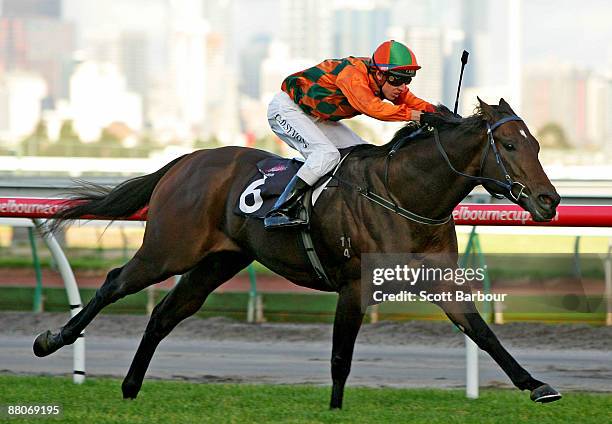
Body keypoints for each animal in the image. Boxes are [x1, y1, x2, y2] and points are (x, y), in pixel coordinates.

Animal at [32, 98, 560, 408]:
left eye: (536, 143)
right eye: (509, 144)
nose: (549, 200)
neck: (405, 194)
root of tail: (186, 160)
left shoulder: (437, 281)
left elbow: (482, 332)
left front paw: (536, 385)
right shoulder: (353, 285)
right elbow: (340, 356)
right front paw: (335, 411)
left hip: (217, 262)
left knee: (164, 313)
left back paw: (129, 388)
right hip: (169, 249)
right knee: (114, 282)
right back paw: (53, 340)